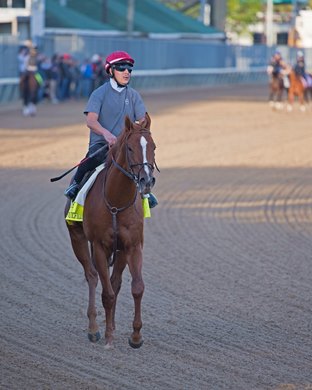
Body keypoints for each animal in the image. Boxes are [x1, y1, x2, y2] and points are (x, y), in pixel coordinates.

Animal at [64, 112, 156, 348]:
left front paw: (136, 336)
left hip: (120, 251)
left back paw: (111, 325)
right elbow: (107, 293)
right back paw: (95, 328)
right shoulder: (98, 246)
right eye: (130, 148)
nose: (147, 180)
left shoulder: (133, 245)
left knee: (115, 282)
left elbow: (137, 288)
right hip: (77, 239)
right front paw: (107, 338)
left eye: (154, 146)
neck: (116, 201)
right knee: (92, 276)